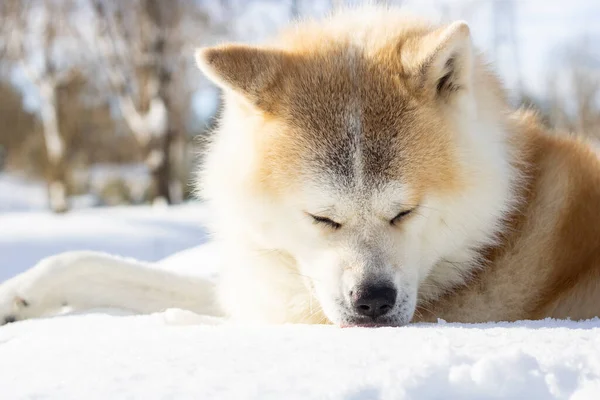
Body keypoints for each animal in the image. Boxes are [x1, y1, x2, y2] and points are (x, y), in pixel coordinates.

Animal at [1, 7, 600, 328]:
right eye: (321, 218)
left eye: (404, 213)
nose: (373, 301)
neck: (497, 231)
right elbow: (95, 264)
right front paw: (19, 295)